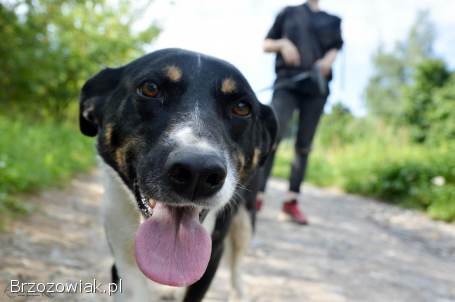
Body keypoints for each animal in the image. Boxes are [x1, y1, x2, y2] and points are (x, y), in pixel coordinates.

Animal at [79, 48, 278, 300]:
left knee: (237, 266)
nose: (198, 172)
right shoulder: (122, 257)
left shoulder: (212, 256)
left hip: (245, 221)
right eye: (150, 88)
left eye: (242, 107)